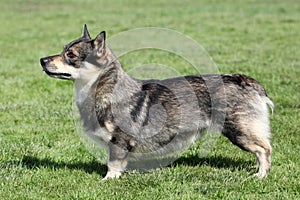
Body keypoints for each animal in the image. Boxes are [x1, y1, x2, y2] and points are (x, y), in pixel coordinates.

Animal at [40, 24, 274, 180]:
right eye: (63, 50)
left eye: (71, 55)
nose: (42, 60)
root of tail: (242, 79)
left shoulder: (119, 141)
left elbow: (113, 163)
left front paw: (108, 180)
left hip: (239, 130)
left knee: (264, 149)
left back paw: (260, 175)